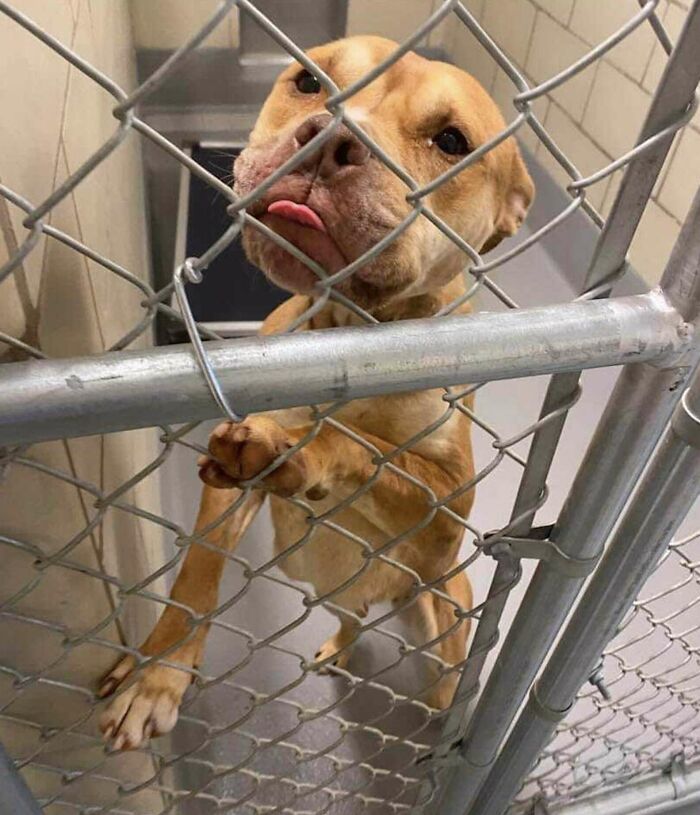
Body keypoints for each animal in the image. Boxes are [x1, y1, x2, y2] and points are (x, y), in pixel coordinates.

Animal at [100, 38, 532, 752]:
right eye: (309, 81)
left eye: (451, 141)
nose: (331, 141)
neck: (346, 326)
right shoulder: (224, 486)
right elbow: (196, 573)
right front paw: (156, 675)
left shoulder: (446, 511)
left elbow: (363, 446)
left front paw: (302, 449)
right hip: (335, 591)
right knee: (351, 618)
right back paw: (338, 646)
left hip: (441, 606)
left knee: (448, 675)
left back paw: (450, 733)